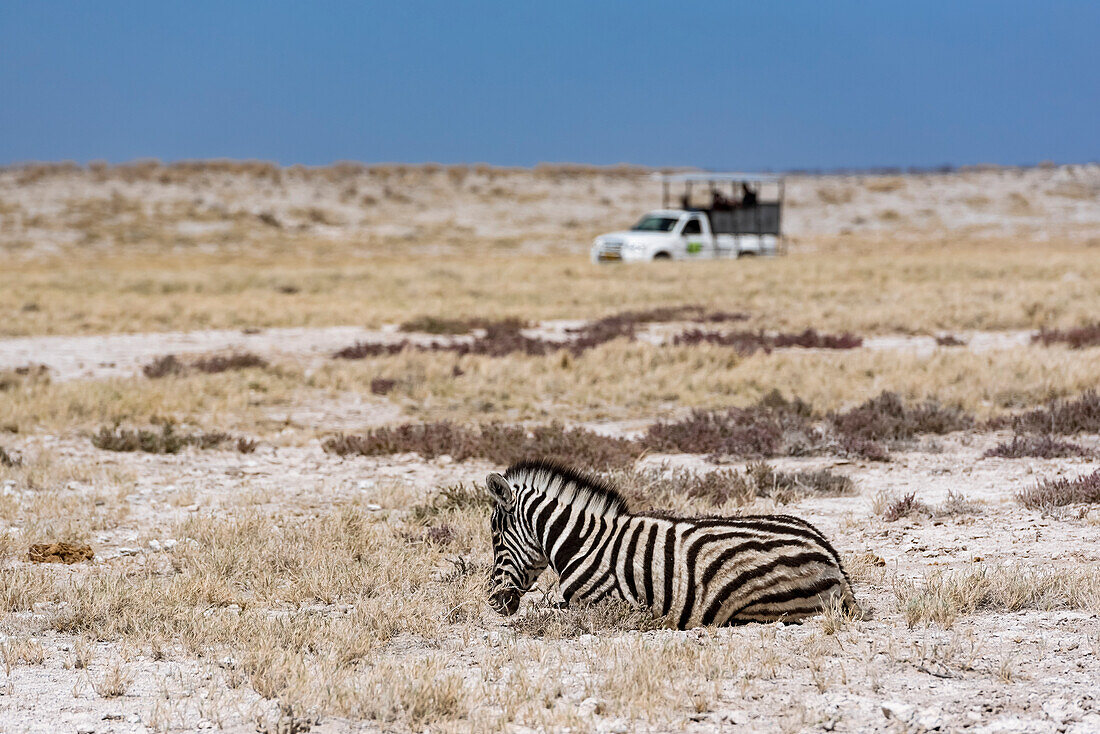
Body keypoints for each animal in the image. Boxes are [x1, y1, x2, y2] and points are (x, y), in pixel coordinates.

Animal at [486, 459, 862, 625]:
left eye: (496, 538)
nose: (492, 601)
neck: (584, 543)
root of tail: (830, 554)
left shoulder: (603, 605)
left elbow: (547, 611)